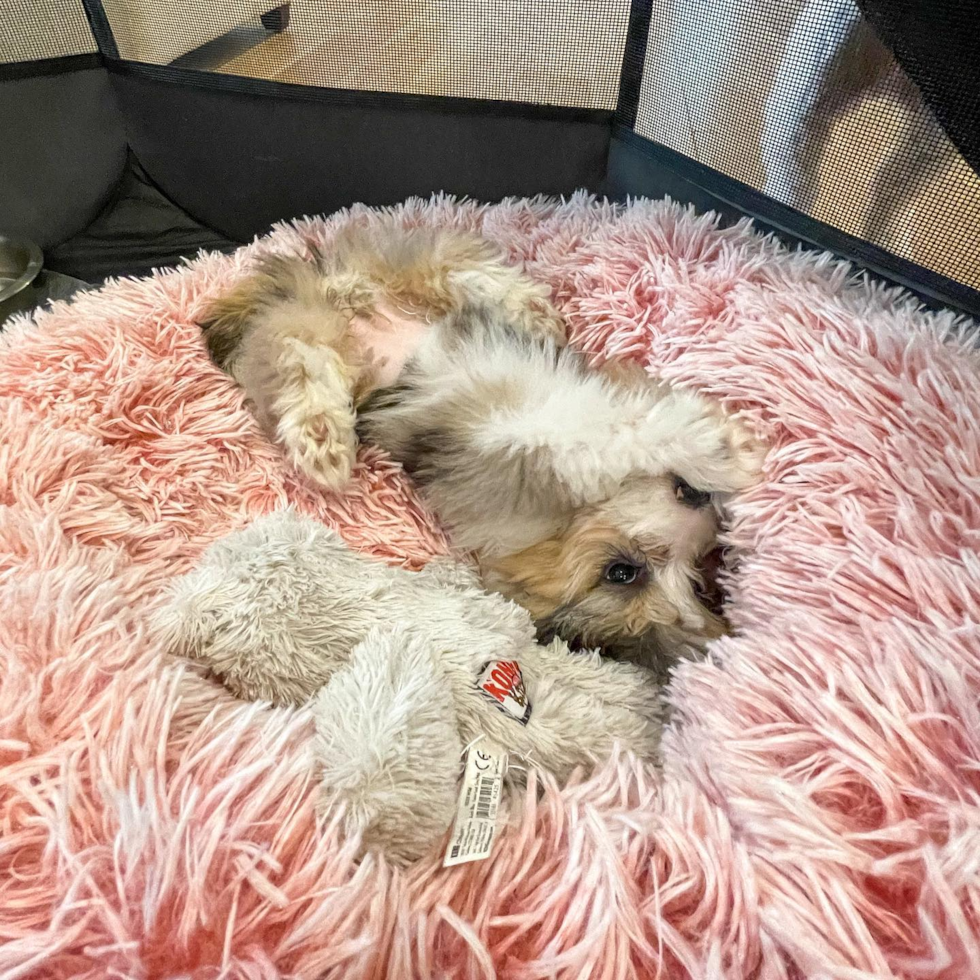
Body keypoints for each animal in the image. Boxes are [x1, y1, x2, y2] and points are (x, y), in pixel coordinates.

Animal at [199, 224, 764, 660]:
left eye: (697, 583)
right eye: (621, 572)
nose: (702, 511)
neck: (559, 521)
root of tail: (319, 288)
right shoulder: (511, 448)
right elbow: (598, 437)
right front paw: (728, 447)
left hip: (396, 278)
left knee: (444, 268)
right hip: (317, 330)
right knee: (301, 354)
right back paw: (323, 439)